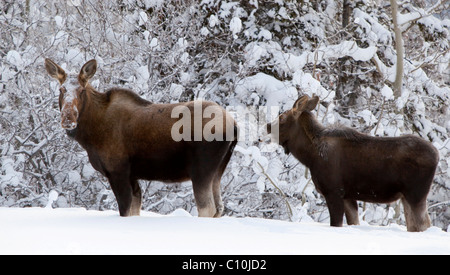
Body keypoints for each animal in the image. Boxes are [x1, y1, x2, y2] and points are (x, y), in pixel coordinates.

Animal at [44, 59, 237, 219]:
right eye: (61, 89)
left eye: (81, 90)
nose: (68, 118)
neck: (89, 135)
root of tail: (235, 125)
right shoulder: (132, 175)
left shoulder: (117, 171)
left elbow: (125, 210)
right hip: (217, 172)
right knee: (219, 208)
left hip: (201, 171)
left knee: (208, 209)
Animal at [268, 94, 440, 232]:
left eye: (282, 118)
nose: (267, 127)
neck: (310, 156)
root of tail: (437, 155)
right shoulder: (348, 196)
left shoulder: (333, 191)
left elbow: (336, 223)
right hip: (406, 196)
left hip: (416, 194)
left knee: (423, 224)